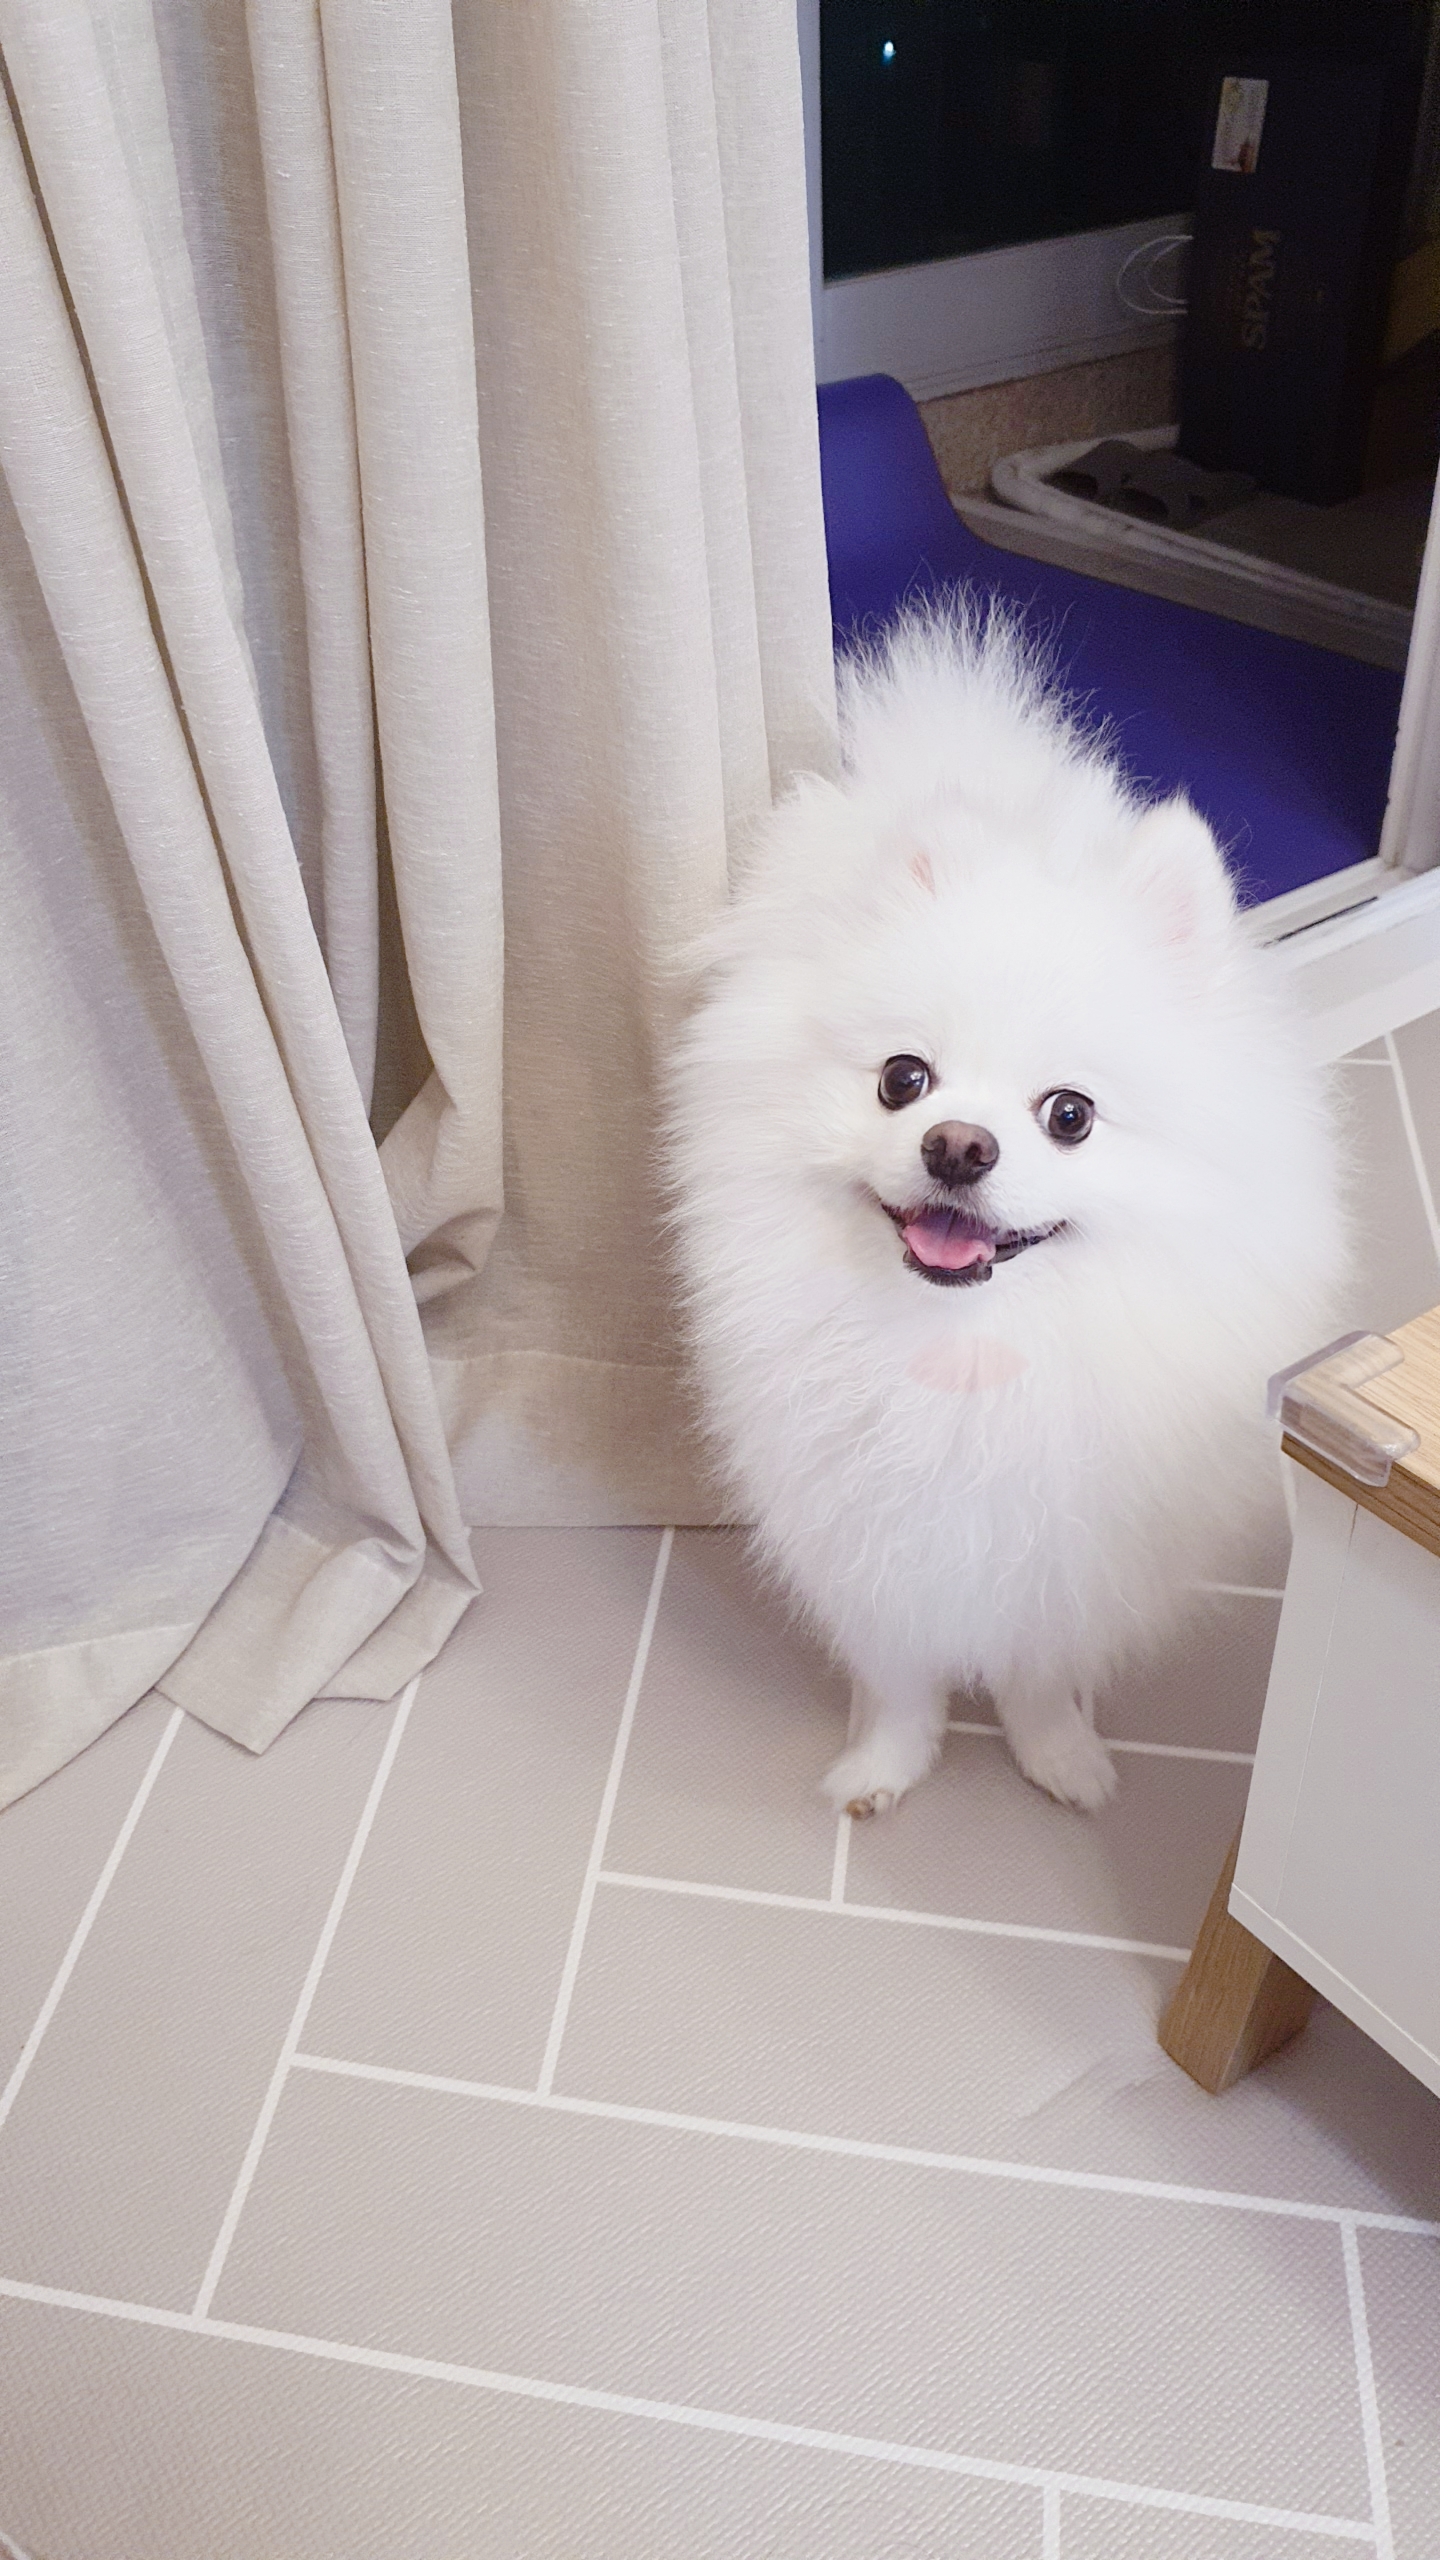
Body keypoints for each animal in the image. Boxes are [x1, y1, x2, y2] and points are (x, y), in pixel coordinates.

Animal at [667, 602, 1344, 1819]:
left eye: (1069, 1114)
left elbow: (1037, 1670)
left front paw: (1059, 1755)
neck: (970, 1350)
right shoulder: (870, 1535)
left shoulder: (1064, 1550)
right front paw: (883, 1767)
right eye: (904, 1080)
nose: (958, 1145)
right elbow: (898, 1677)